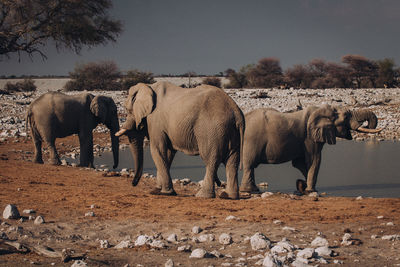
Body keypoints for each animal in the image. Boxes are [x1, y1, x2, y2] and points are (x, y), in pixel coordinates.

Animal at [113, 81, 244, 199]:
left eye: (127, 109)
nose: (133, 184)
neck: (148, 87)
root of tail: (236, 112)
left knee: (211, 159)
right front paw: (157, 190)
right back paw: (228, 196)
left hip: (212, 130)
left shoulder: (155, 121)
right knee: (232, 161)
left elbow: (157, 150)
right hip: (230, 132)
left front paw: (165, 193)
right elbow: (168, 154)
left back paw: (202, 196)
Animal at [239, 104, 382, 195]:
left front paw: (302, 186)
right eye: (346, 116)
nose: (367, 124)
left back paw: (251, 190)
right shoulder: (309, 137)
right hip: (251, 140)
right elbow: (314, 160)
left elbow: (300, 163)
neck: (322, 109)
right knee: (249, 164)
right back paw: (249, 190)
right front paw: (311, 191)